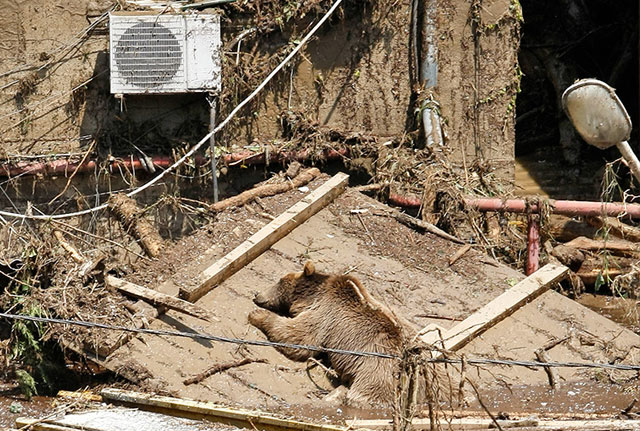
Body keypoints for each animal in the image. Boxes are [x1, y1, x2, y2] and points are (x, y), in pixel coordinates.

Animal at [248, 262, 408, 406]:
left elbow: (299, 337)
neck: (311, 296)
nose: (257, 294)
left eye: (280, 281)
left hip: (375, 367)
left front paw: (257, 315)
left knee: (368, 393)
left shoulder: (325, 313)